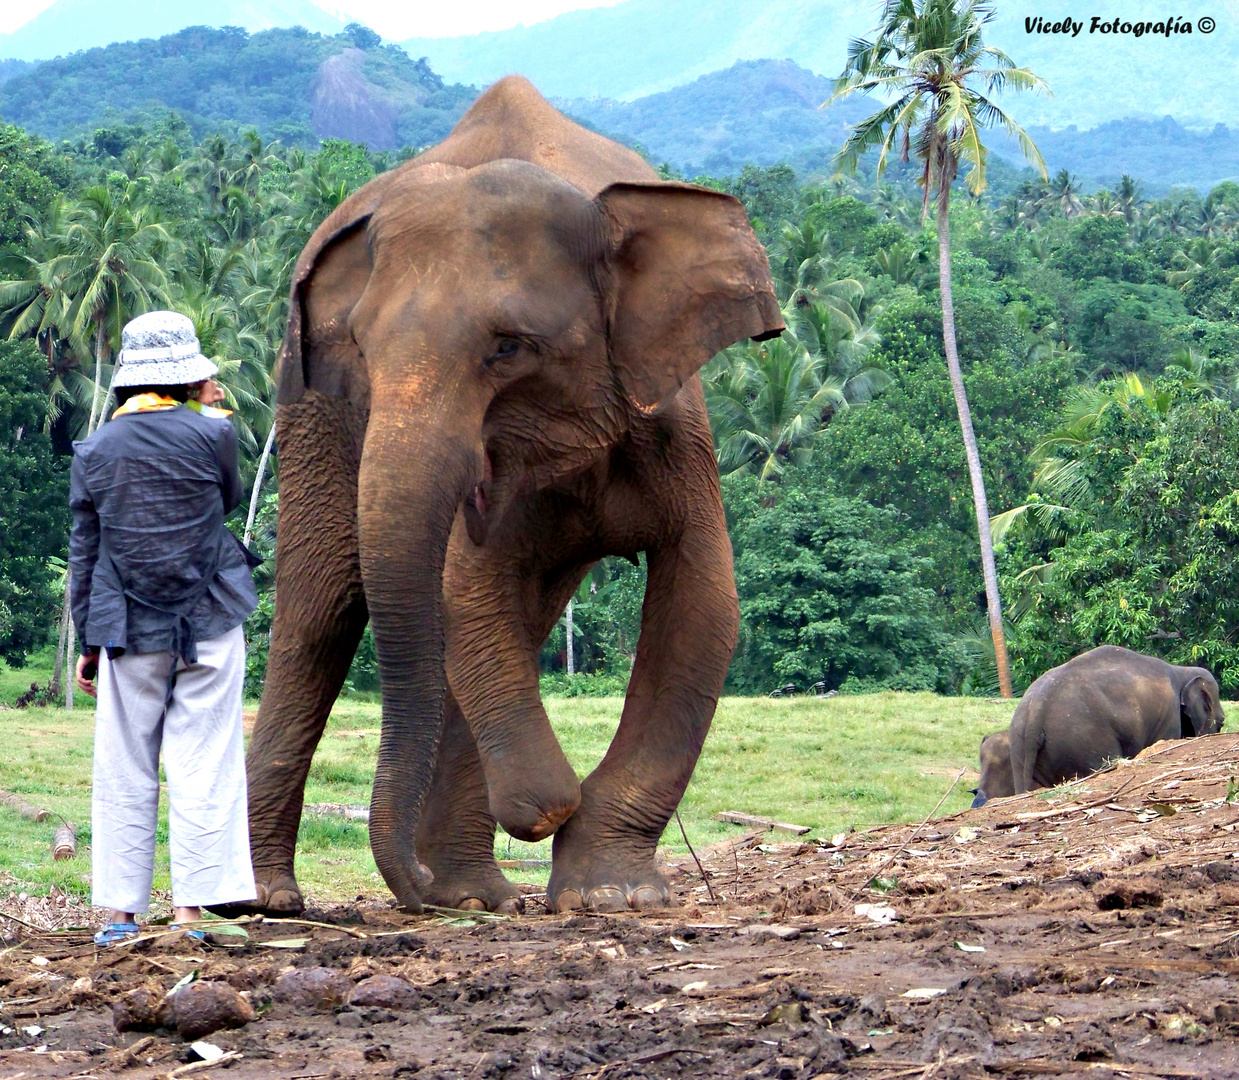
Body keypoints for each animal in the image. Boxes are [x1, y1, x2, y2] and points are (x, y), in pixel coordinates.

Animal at [239, 78, 783, 921]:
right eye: (359, 350)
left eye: (507, 348)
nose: (412, 897)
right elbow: (469, 591)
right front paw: (545, 806)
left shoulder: (674, 420)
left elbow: (703, 603)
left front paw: (609, 891)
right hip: (306, 411)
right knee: (319, 613)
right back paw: (270, 901)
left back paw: (467, 892)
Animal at [1011, 639, 1224, 792]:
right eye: (1221, 723)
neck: (1181, 670)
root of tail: (1036, 712)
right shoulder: (1168, 716)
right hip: (1083, 739)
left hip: (1022, 747)